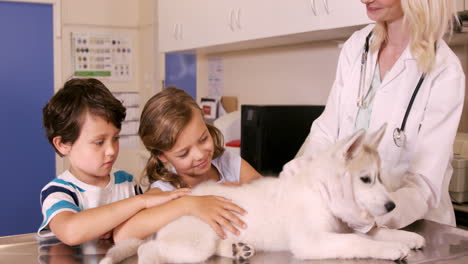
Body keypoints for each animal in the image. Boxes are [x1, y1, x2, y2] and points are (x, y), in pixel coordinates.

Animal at [101, 125, 424, 262]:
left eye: (380, 178)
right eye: (365, 179)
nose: (392, 206)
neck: (320, 193)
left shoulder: (343, 225)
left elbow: (373, 233)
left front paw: (407, 237)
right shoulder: (312, 242)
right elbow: (357, 242)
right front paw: (391, 250)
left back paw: (235, 249)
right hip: (193, 245)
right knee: (147, 250)